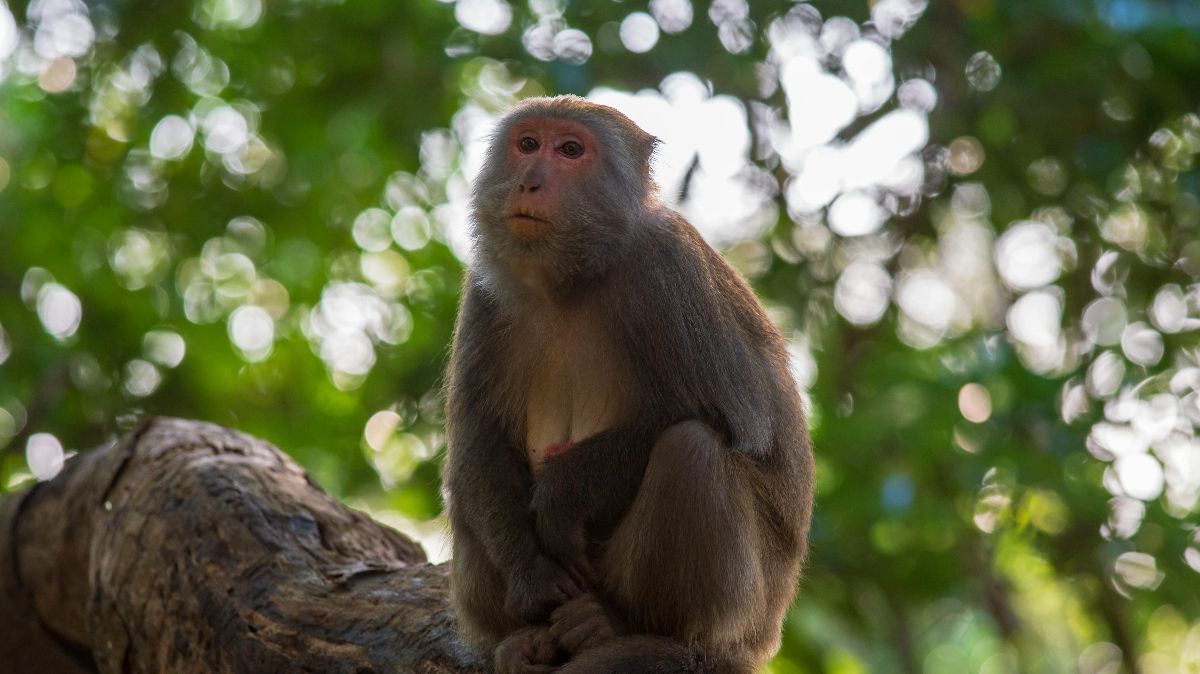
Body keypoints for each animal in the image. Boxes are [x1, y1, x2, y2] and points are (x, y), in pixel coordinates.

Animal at [444, 95, 816, 671]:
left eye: (569, 150)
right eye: (527, 144)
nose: (529, 181)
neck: (572, 280)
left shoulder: (669, 273)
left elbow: (739, 424)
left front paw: (565, 493)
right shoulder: (485, 296)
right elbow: (479, 444)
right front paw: (532, 577)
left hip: (744, 608)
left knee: (692, 451)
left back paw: (625, 625)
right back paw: (520, 639)